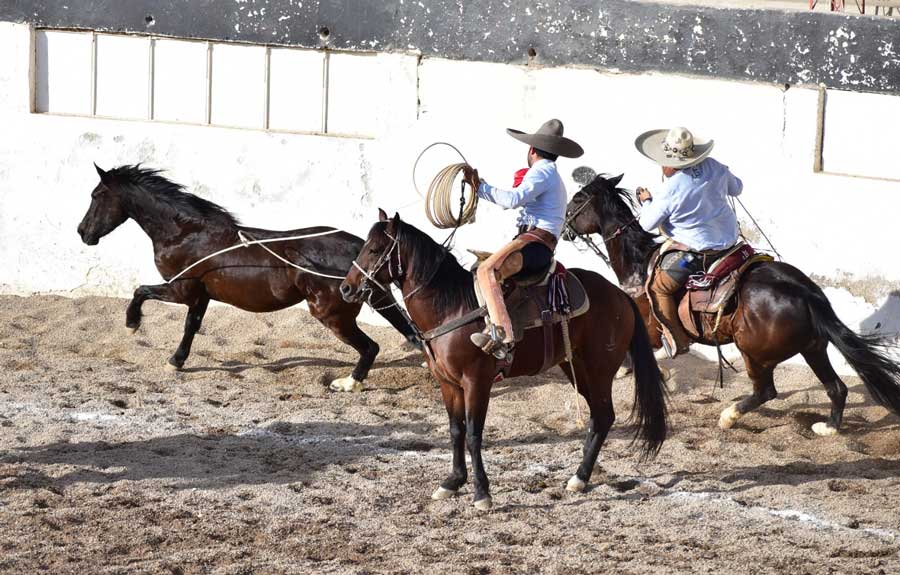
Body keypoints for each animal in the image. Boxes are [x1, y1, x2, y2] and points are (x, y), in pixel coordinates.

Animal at [340, 210, 668, 508]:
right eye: (363, 246)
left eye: (374, 249)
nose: (346, 287)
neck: (451, 307)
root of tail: (620, 295)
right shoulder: (448, 384)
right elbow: (456, 430)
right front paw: (452, 482)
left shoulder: (476, 382)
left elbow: (474, 434)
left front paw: (481, 493)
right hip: (576, 367)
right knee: (598, 417)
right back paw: (580, 477)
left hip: (599, 369)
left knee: (604, 415)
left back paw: (580, 476)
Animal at [564, 176, 900, 436]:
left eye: (579, 198)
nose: (565, 224)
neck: (639, 263)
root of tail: (806, 294)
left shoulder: (645, 331)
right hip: (813, 348)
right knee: (836, 387)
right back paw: (827, 427)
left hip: (755, 353)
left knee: (766, 391)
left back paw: (728, 417)